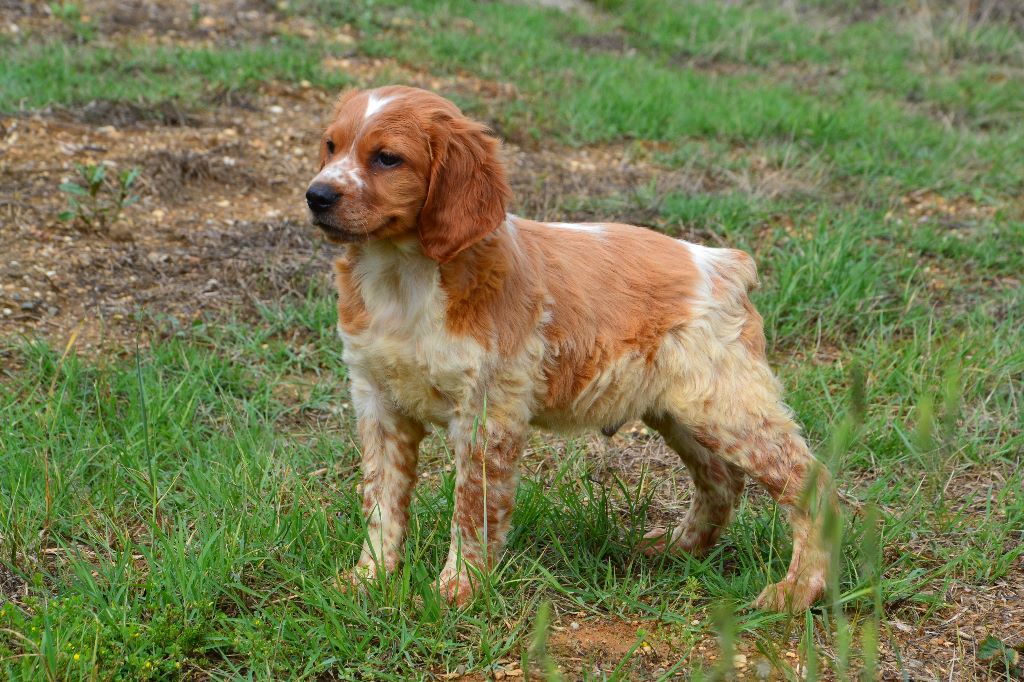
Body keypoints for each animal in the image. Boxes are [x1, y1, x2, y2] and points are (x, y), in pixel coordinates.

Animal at [305, 84, 839, 610]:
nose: (316, 195)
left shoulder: (486, 412)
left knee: (809, 481)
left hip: (728, 408)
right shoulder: (377, 402)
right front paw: (367, 579)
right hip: (680, 411)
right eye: (330, 146)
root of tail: (726, 263)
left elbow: (473, 508)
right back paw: (677, 549)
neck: (404, 275)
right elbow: (381, 500)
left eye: (387, 158)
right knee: (721, 480)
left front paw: (458, 590)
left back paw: (797, 591)